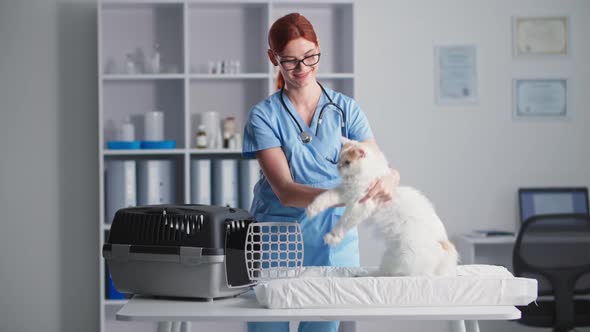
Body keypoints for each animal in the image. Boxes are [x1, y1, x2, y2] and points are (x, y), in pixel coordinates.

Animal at [308, 138, 460, 278]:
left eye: (347, 162)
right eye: (339, 160)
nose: (338, 167)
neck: (367, 177)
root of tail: (443, 246)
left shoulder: (359, 206)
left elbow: (343, 223)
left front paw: (332, 237)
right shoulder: (344, 193)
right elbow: (325, 198)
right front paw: (311, 210)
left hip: (404, 256)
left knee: (400, 274)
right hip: (390, 256)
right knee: (383, 271)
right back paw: (361, 274)